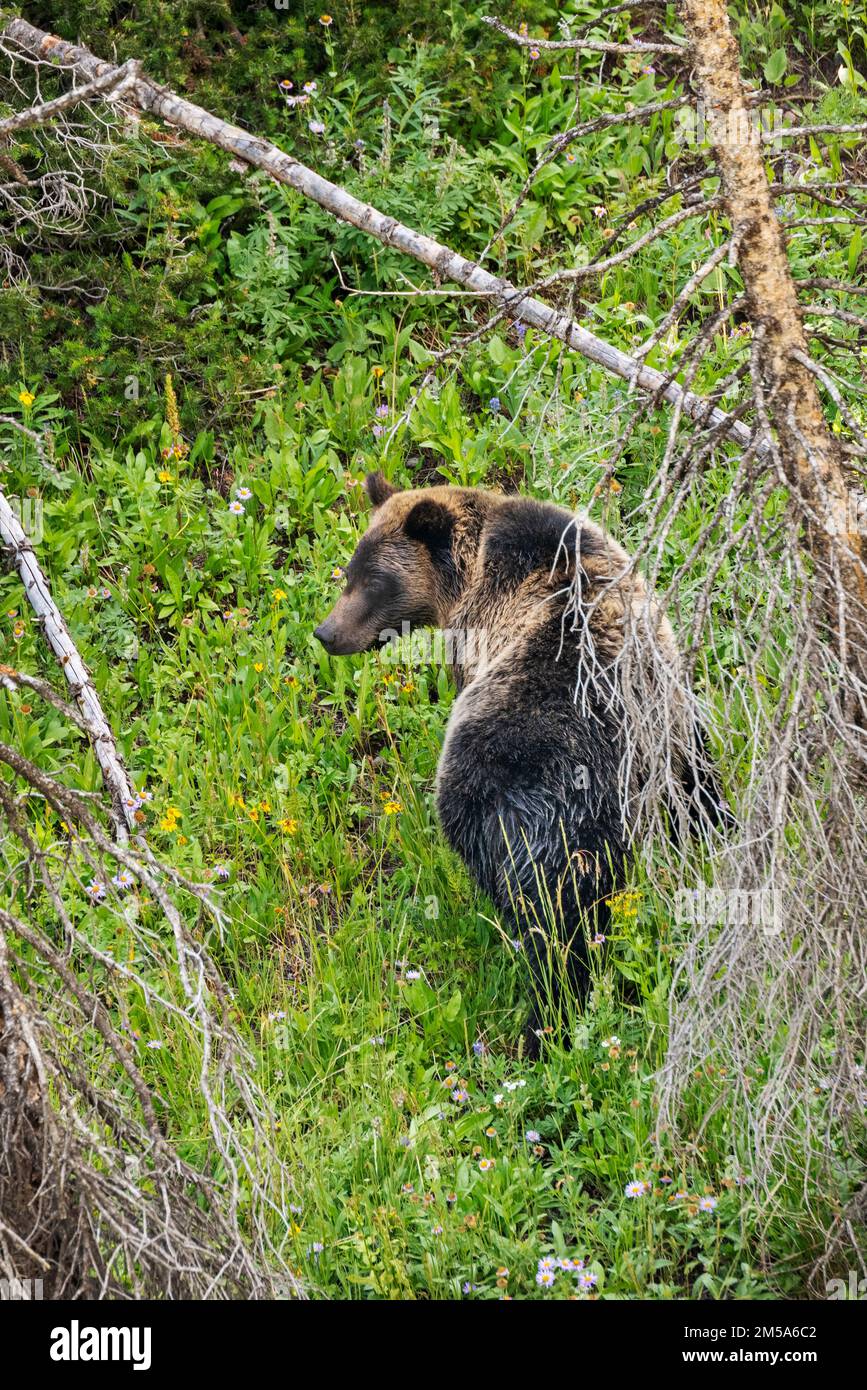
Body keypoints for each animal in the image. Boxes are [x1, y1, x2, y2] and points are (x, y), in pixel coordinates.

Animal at [314, 472, 727, 1052]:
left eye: (374, 580)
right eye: (351, 572)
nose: (327, 633)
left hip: (510, 793)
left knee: (550, 929)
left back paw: (541, 1021)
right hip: (663, 744)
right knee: (696, 795)